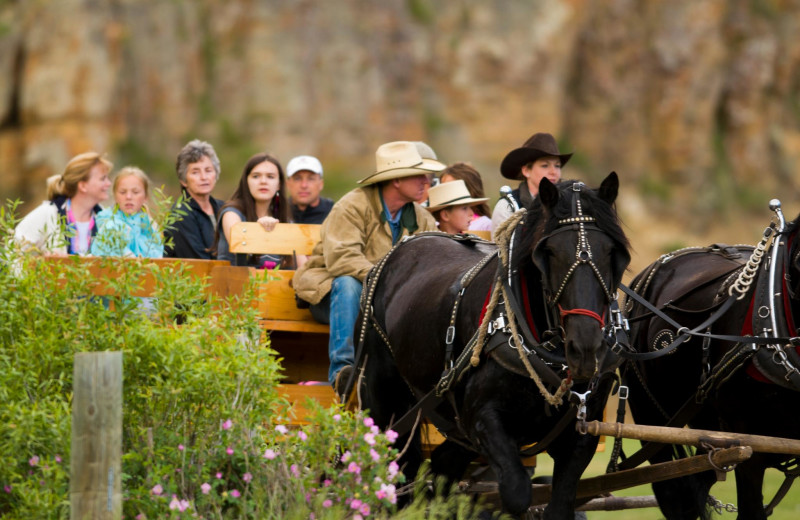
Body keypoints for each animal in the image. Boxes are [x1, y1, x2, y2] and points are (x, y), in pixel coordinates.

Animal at [356, 175, 632, 516]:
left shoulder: (580, 437)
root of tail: (402, 247)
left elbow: (560, 504)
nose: (585, 349)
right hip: (383, 398)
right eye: (550, 251)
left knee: (439, 469)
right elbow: (516, 492)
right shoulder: (483, 420)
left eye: (610, 252)